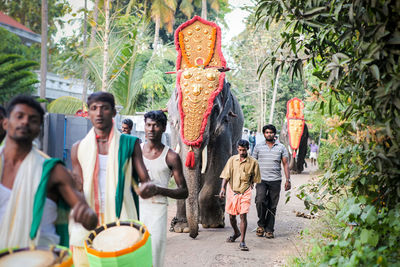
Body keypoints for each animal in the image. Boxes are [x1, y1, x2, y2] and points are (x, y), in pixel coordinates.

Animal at [166, 16, 244, 239]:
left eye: (214, 109)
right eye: (178, 112)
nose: (193, 235)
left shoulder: (225, 122)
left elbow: (219, 160)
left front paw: (212, 224)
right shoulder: (174, 129)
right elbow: (180, 159)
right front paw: (181, 228)